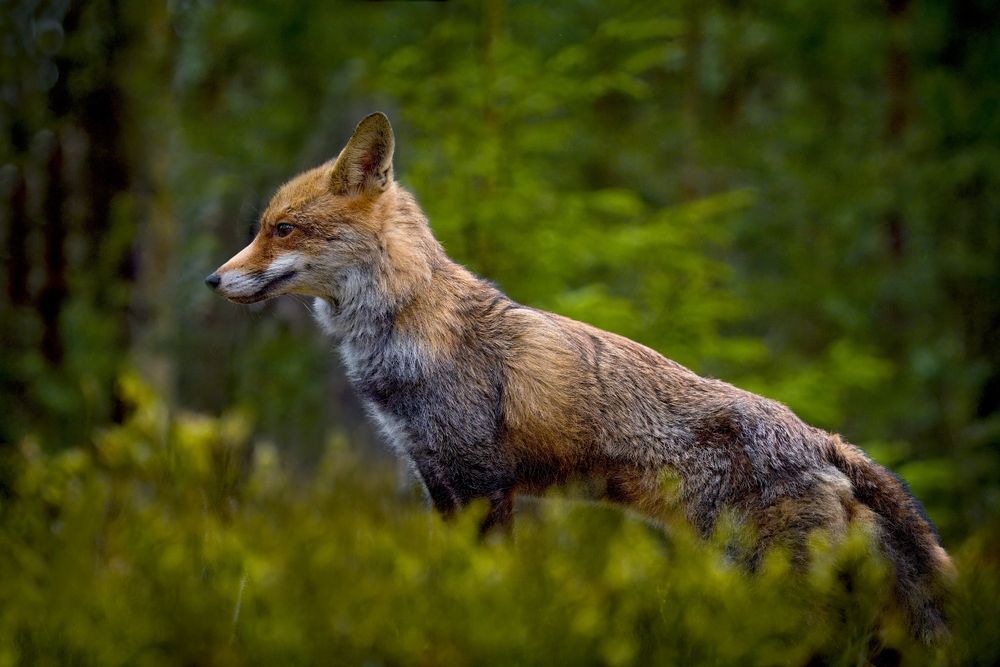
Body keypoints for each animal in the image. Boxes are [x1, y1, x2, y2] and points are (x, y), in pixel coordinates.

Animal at [207, 112, 954, 643]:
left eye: (282, 229)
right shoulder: (437, 481)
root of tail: (823, 437)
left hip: (772, 590)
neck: (410, 329)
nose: (212, 279)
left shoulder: (482, 484)